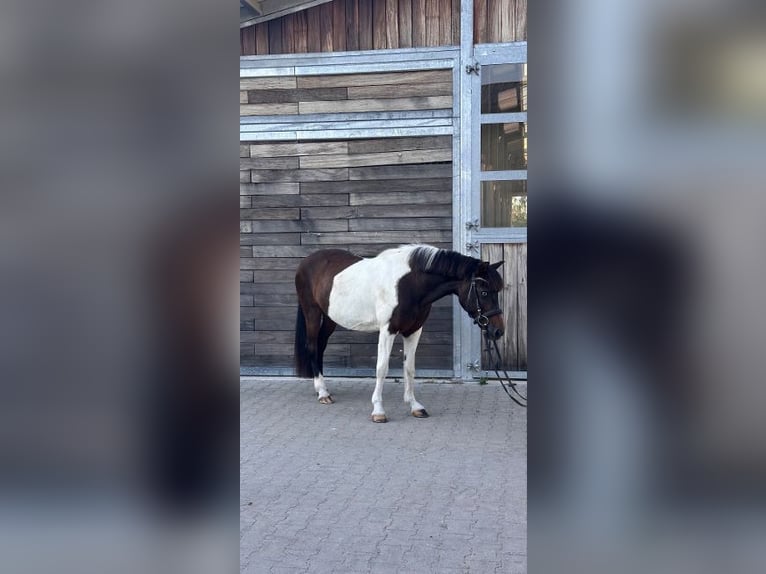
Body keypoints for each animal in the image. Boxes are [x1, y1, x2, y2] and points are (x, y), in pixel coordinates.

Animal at [294, 244, 505, 423]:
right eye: (484, 292)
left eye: (497, 291)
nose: (498, 331)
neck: (409, 285)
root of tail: (306, 261)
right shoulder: (387, 330)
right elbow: (382, 368)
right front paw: (378, 410)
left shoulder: (413, 331)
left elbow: (409, 368)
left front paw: (415, 406)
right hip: (312, 312)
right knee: (312, 346)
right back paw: (322, 393)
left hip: (330, 318)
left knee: (320, 345)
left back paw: (322, 389)